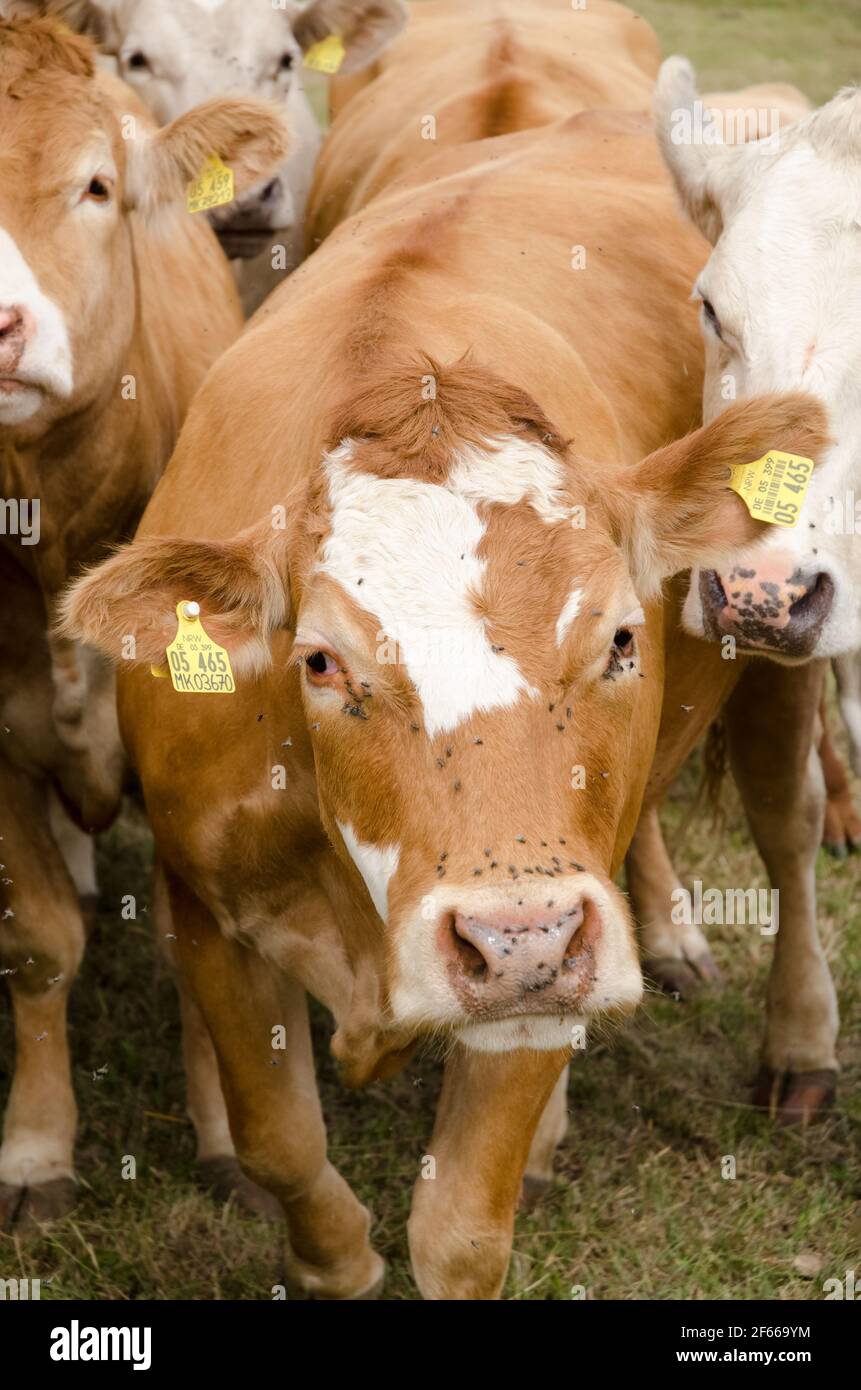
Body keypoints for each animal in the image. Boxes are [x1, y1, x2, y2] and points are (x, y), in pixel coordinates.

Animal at [57, 0, 823, 1289]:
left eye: (623, 637)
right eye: (322, 661)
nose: (518, 939)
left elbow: (462, 1224)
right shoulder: (208, 914)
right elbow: (278, 1143)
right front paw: (334, 1258)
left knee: (789, 829)